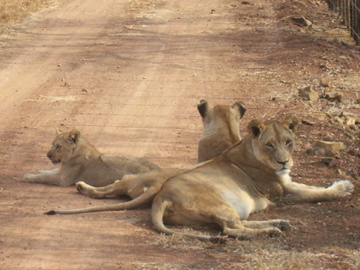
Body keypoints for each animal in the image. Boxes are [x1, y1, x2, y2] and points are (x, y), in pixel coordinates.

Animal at [24, 128, 160, 186]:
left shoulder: (62, 179)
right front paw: (39, 170)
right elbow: (50, 171)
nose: (48, 155)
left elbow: (45, 177)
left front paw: (28, 176)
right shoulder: (61, 171)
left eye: (58, 146)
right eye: (52, 144)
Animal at [150, 115, 354, 242]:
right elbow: (317, 194)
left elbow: (312, 188)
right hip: (216, 203)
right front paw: (344, 188)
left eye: (288, 141)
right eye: (269, 145)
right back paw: (270, 232)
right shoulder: (282, 194)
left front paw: (338, 185)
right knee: (232, 228)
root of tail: (161, 196)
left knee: (238, 222)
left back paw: (279, 223)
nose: (284, 162)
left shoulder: (287, 183)